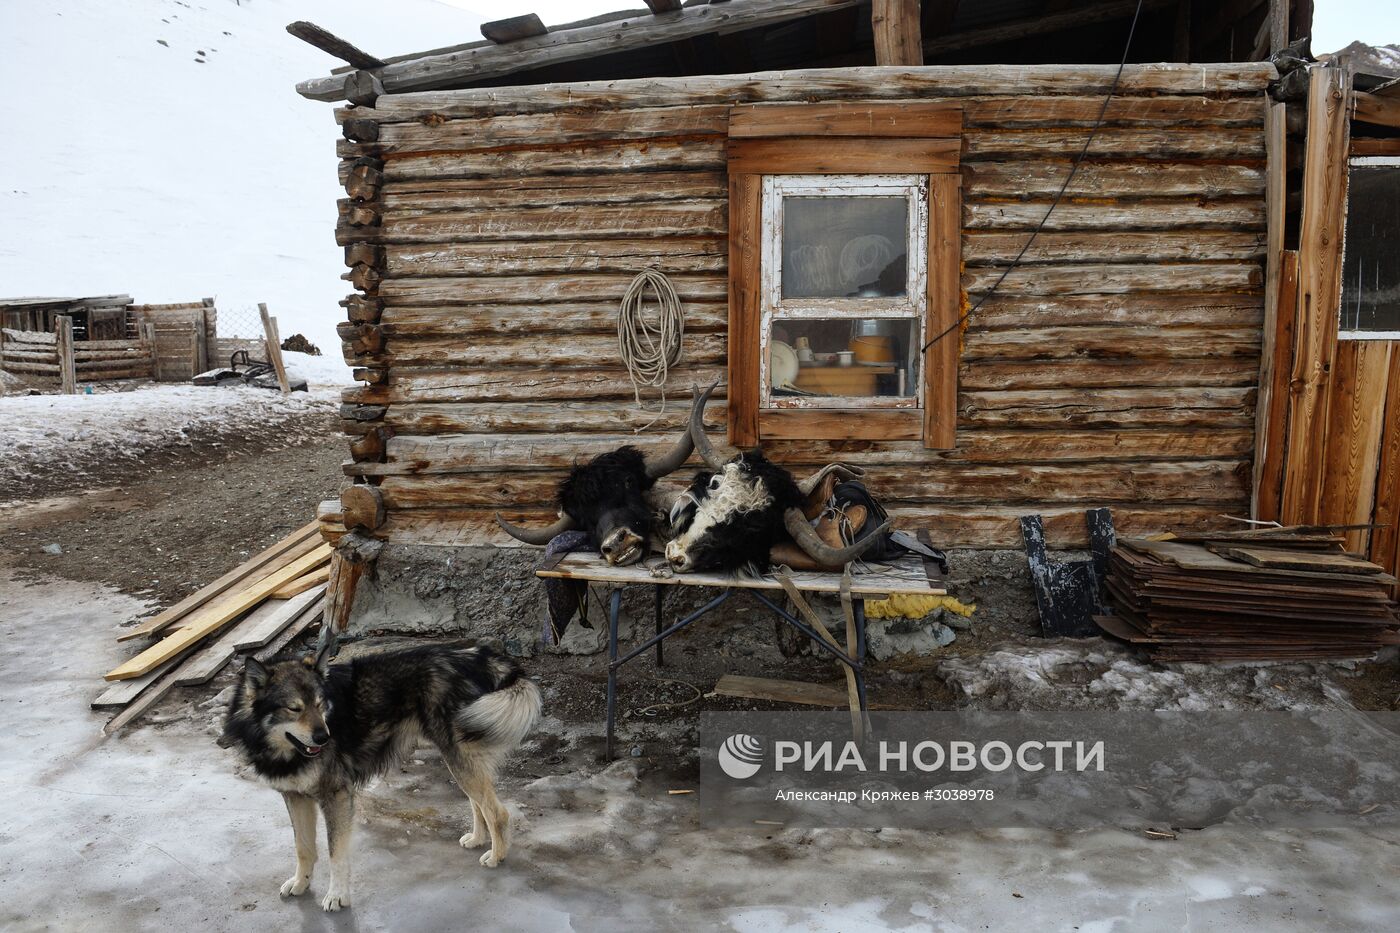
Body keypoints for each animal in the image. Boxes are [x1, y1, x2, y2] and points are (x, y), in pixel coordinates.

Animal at [222, 638, 540, 907]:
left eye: (320, 704)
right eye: (294, 708)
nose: (325, 738)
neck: (277, 747)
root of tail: (479, 656)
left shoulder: (336, 797)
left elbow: (335, 852)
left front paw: (337, 895)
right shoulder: (295, 796)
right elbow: (303, 848)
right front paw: (301, 883)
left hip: (459, 756)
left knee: (497, 812)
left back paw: (497, 855)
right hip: (458, 758)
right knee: (478, 804)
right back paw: (477, 839)